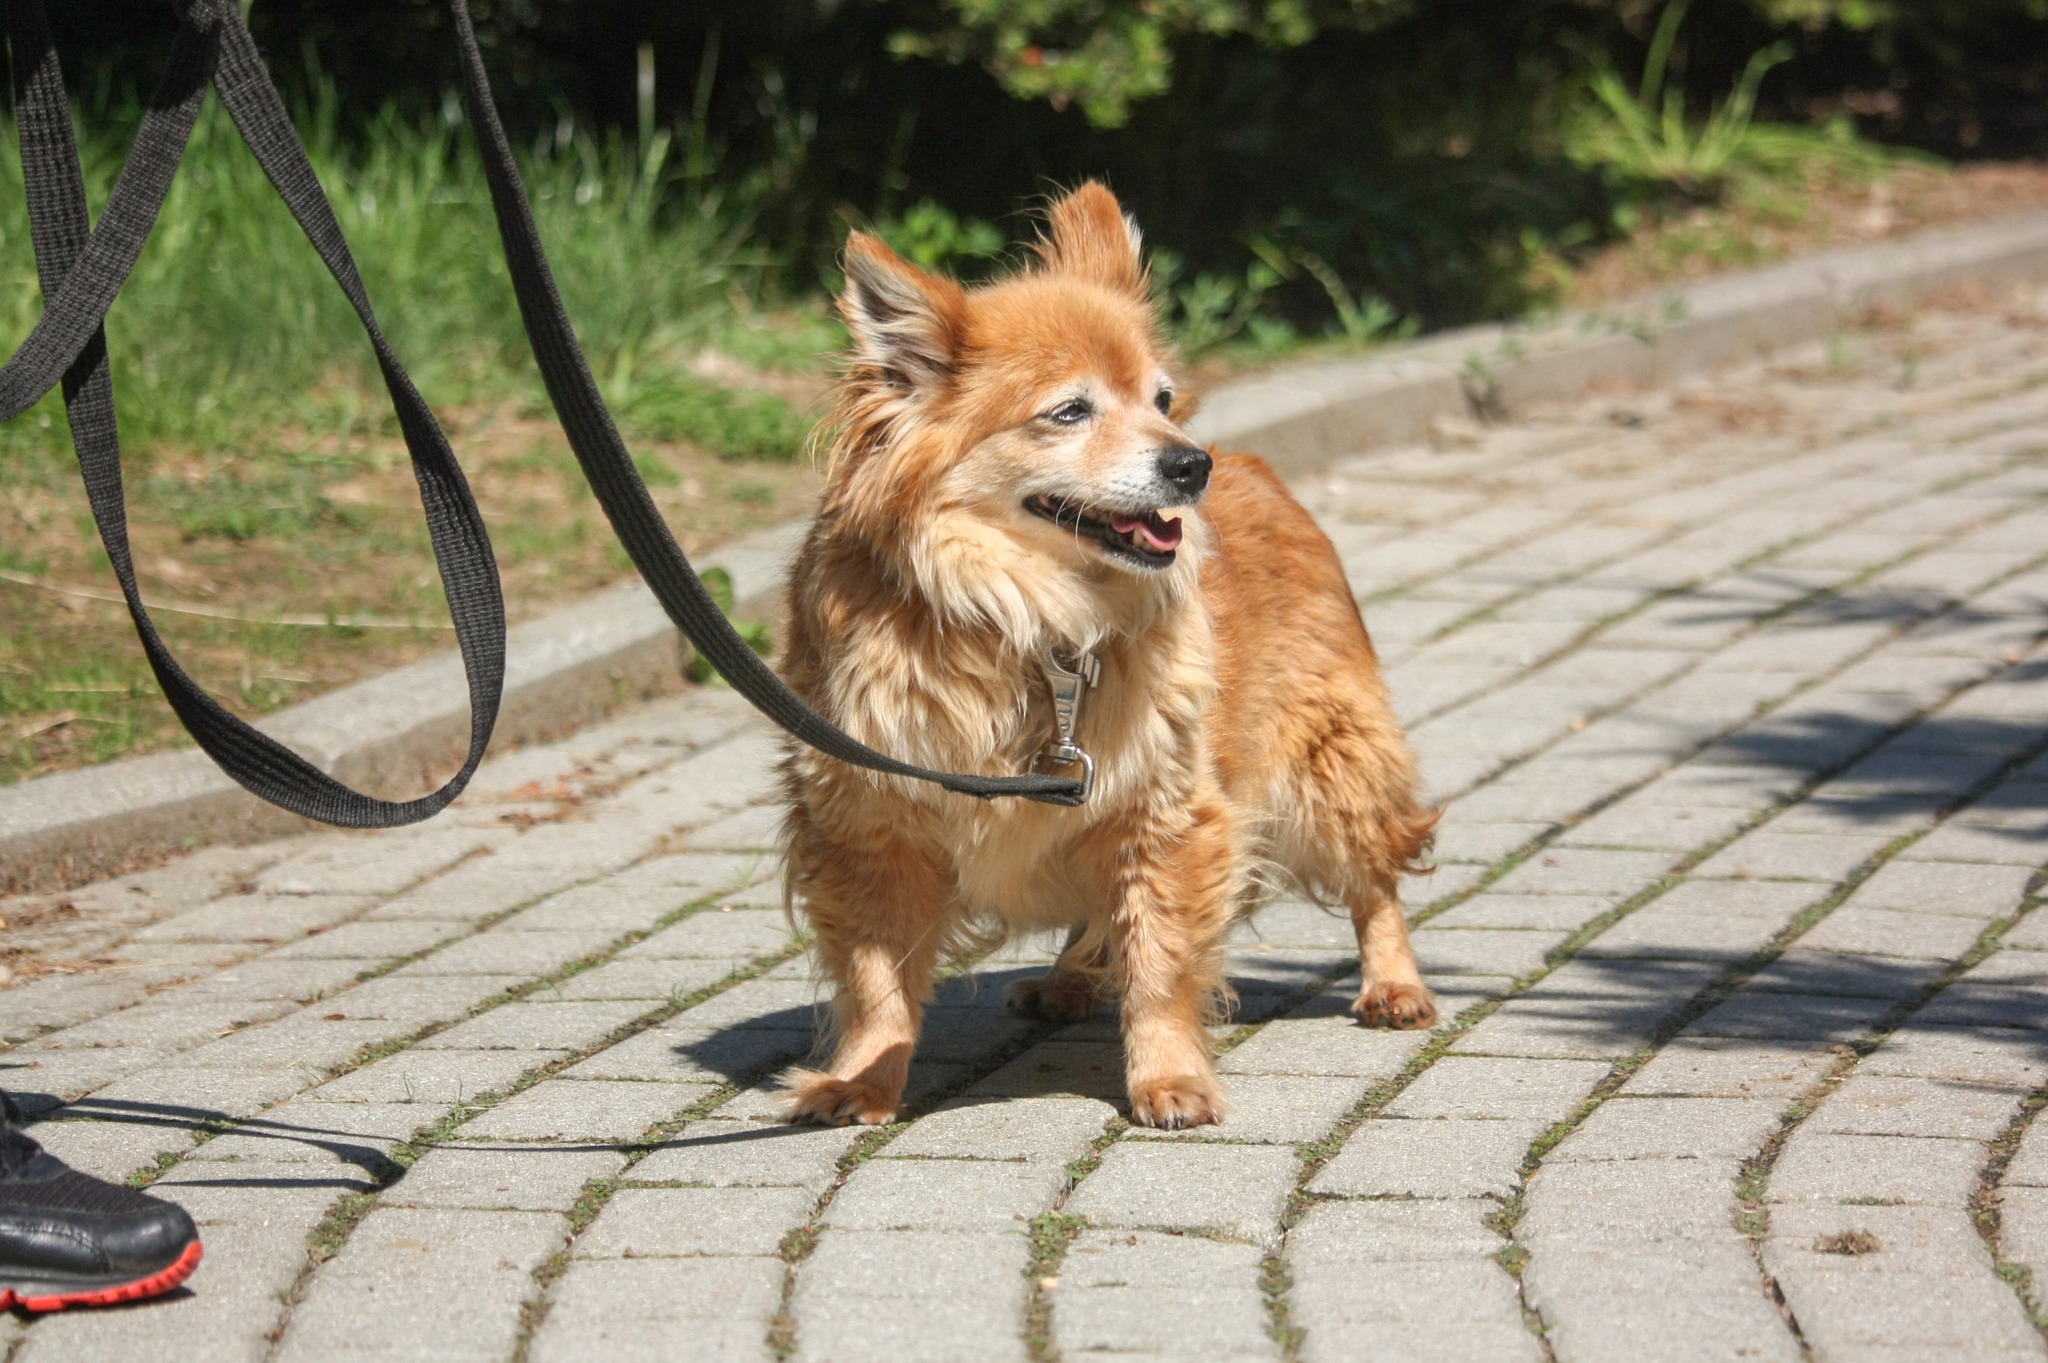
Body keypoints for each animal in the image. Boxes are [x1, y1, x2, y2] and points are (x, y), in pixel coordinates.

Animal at [777, 183, 1437, 1129]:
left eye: (1161, 397)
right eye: (1069, 411)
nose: (1190, 464)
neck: (1025, 617)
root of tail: (1256, 465)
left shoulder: (1162, 813)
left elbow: (1159, 959)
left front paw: (1168, 1077)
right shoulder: (868, 831)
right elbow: (877, 981)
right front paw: (862, 1079)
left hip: (1329, 755)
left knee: (1373, 876)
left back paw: (1393, 983)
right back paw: (1068, 978)